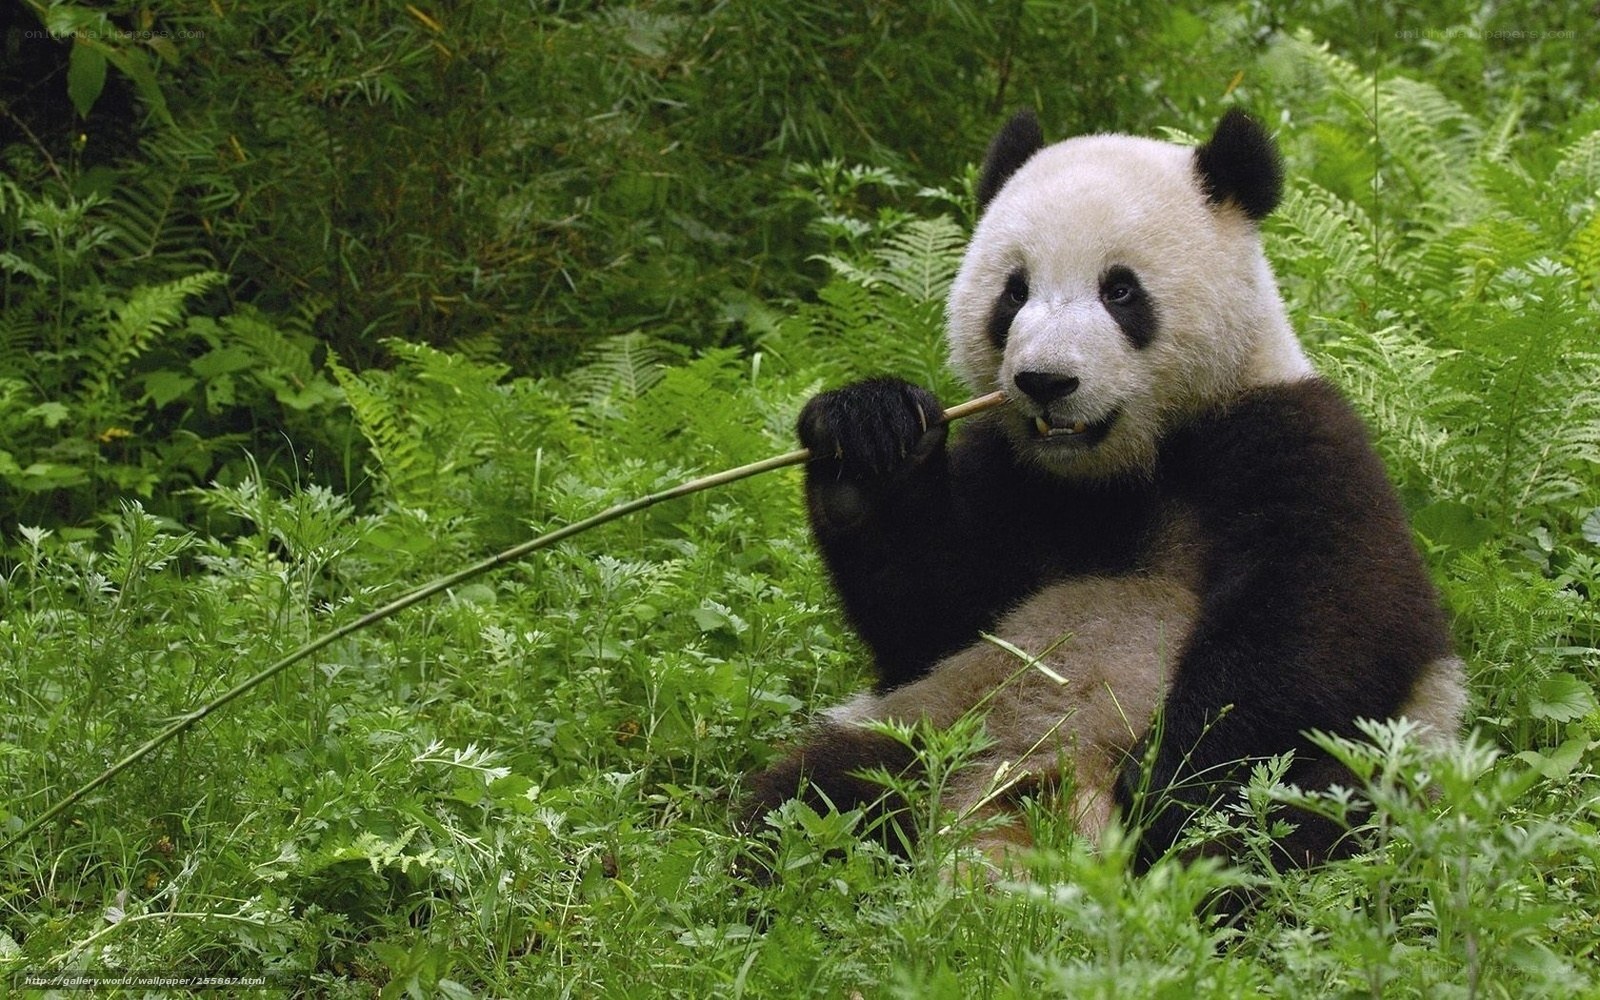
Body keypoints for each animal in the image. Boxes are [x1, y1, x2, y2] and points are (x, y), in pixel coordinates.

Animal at [741, 108, 1467, 875]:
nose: (1045, 381)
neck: (1120, 468)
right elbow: (929, 614)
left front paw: (1166, 783)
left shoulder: (1293, 439)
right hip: (935, 722)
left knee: (1286, 815)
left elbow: (1328, 621)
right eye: (1014, 291)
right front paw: (866, 438)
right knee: (816, 795)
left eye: (1120, 291)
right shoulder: (1011, 476)